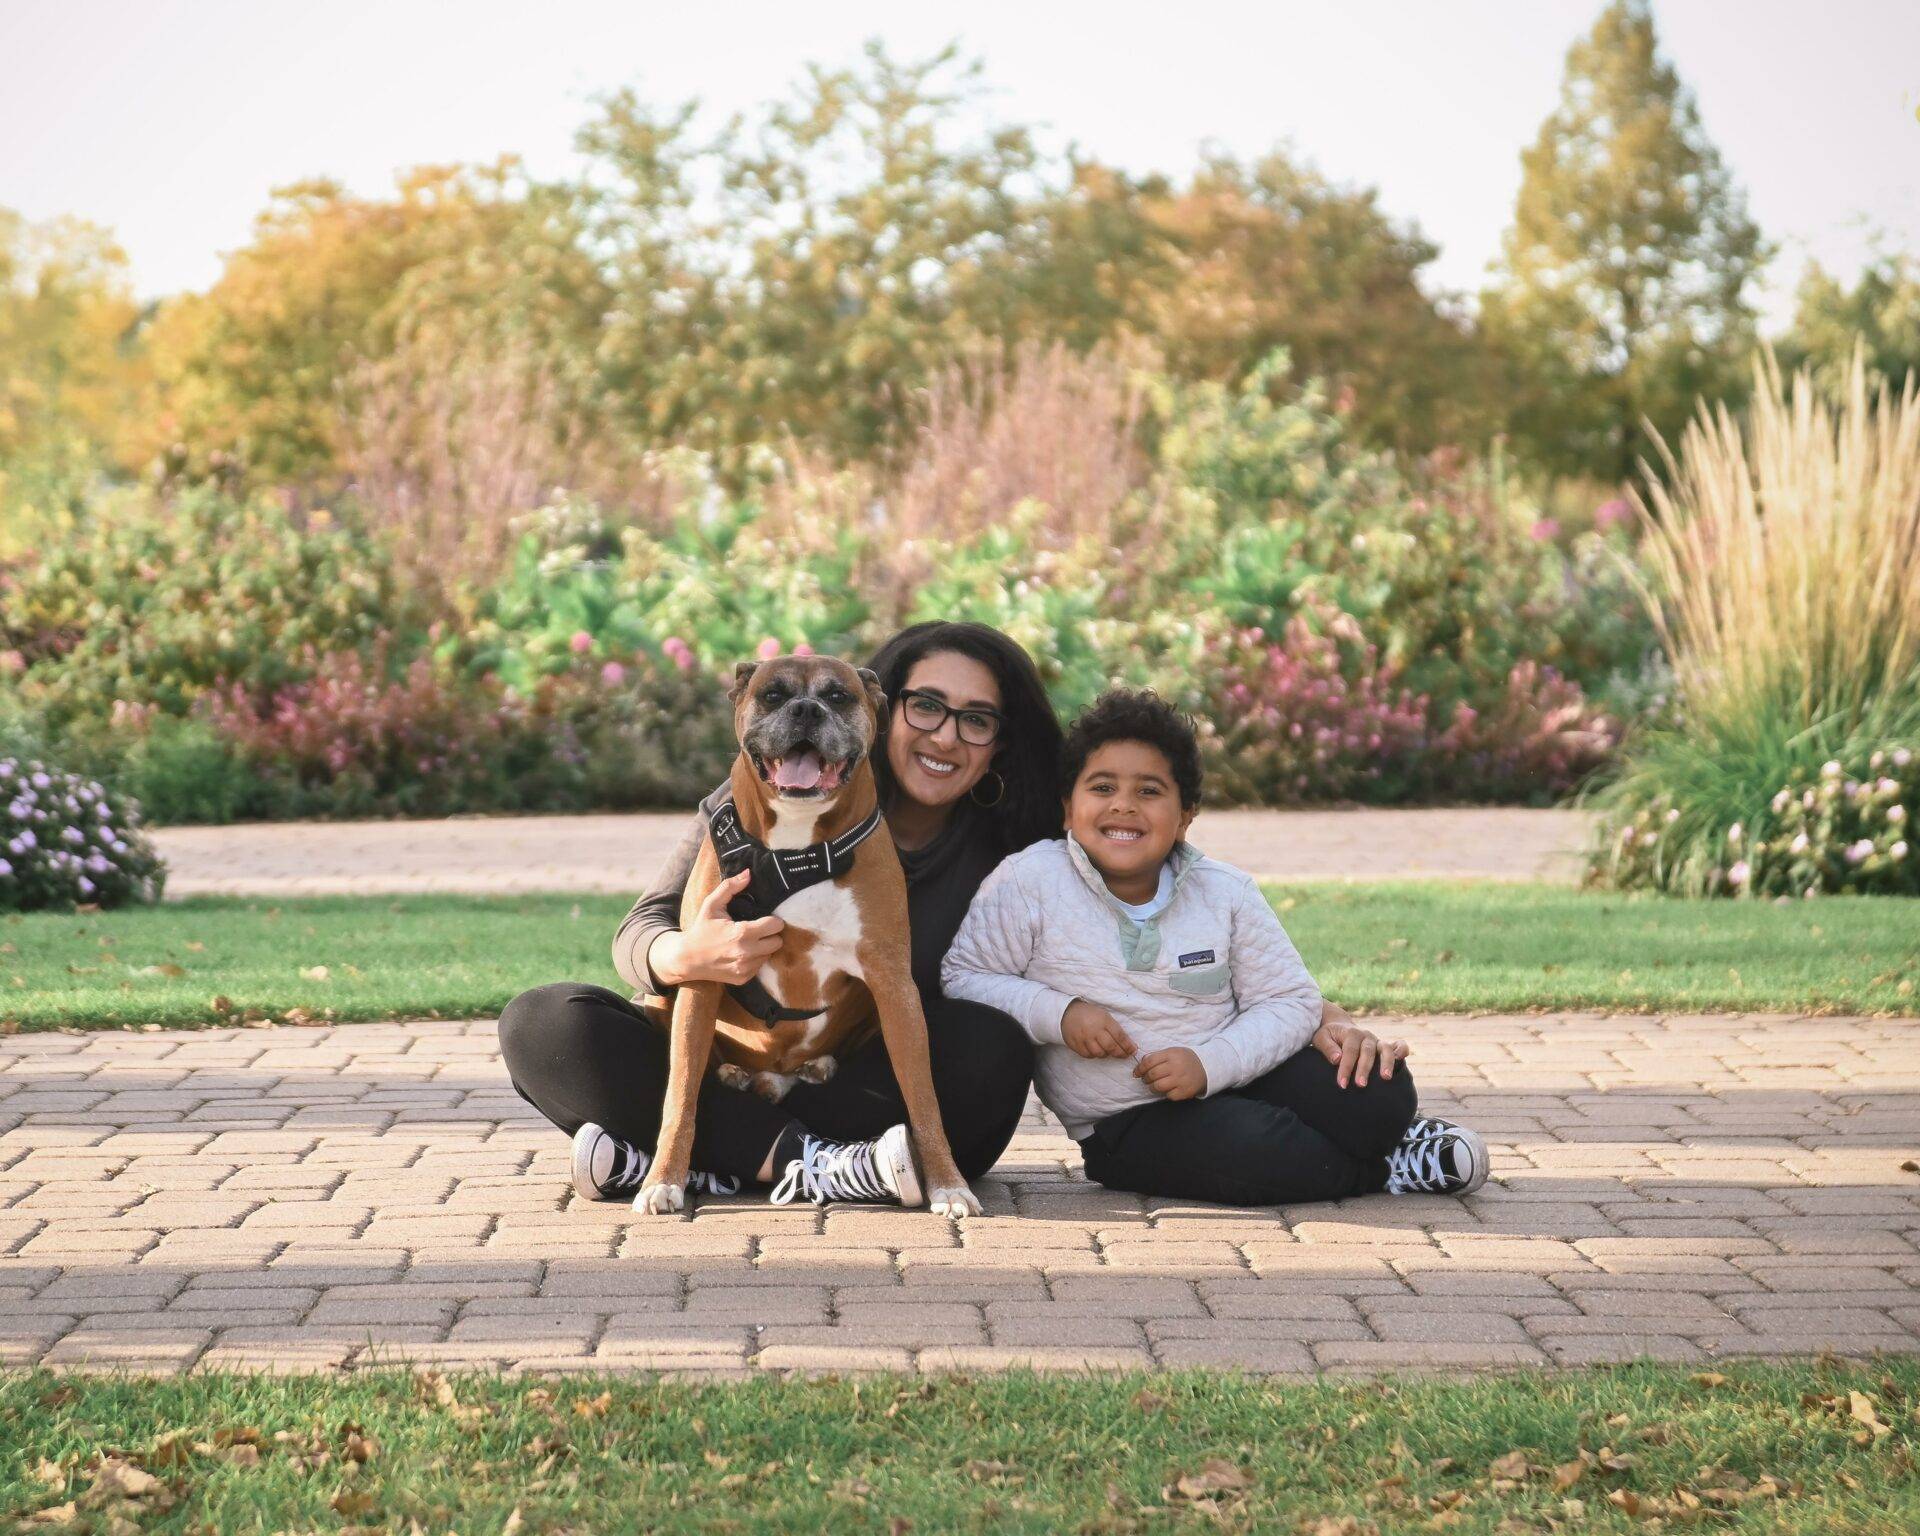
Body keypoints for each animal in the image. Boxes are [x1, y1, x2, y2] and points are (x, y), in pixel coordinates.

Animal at [637, 652, 983, 1221]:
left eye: (838, 696)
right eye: (773, 695)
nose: (805, 710)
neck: (796, 852)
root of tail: (776, 1074)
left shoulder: (894, 985)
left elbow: (924, 1097)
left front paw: (948, 1185)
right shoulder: (702, 974)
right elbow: (680, 1095)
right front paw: (662, 1181)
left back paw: (815, 1069)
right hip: (660, 994)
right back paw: (732, 1075)